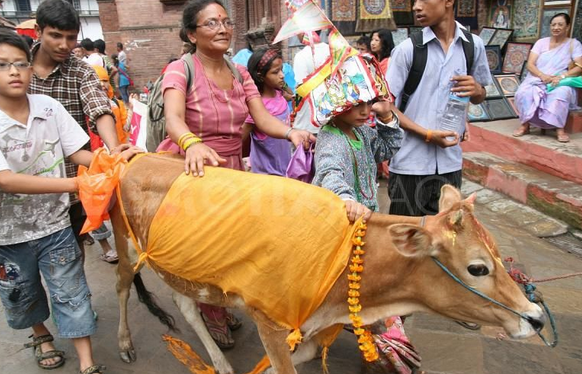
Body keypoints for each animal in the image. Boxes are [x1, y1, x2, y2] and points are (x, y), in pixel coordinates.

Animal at [110, 153, 548, 374]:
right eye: (478, 268)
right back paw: (125, 344)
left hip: (179, 269)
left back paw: (218, 361)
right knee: (121, 286)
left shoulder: (313, 325)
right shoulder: (269, 321)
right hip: (125, 242)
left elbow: (296, 358)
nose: (536, 317)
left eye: (499, 254)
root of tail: (132, 158)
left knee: (186, 304)